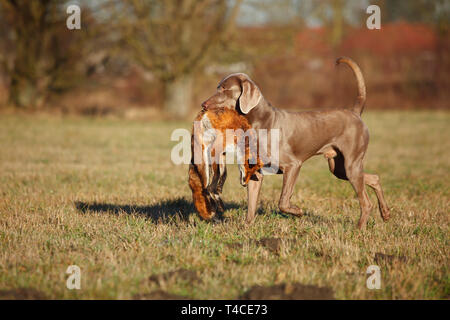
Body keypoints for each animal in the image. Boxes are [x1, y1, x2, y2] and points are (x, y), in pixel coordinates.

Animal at [201, 56, 390, 229]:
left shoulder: (293, 166)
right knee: (374, 178)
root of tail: (355, 112)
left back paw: (360, 229)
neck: (260, 122)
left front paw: (298, 211)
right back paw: (386, 213)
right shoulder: (255, 173)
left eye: (224, 89)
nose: (203, 105)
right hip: (339, 168)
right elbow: (251, 205)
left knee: (366, 202)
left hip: (351, 164)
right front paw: (247, 228)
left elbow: (283, 201)